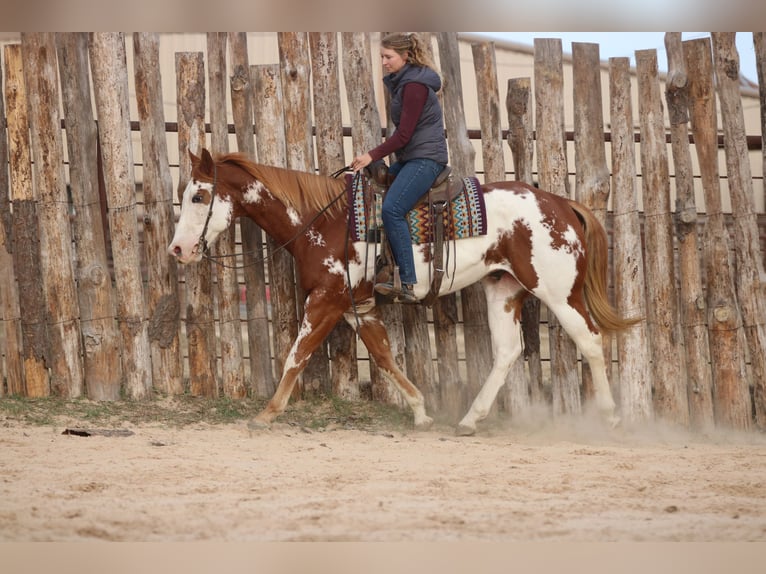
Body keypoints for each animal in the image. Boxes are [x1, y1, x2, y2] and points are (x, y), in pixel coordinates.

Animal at [168, 149, 636, 435]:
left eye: (199, 195)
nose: (178, 249)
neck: (325, 221)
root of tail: (561, 203)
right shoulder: (357, 306)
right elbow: (383, 355)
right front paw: (421, 411)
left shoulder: (326, 300)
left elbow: (297, 355)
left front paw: (267, 413)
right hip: (503, 289)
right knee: (507, 352)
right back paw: (470, 419)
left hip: (559, 292)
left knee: (590, 341)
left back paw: (612, 418)